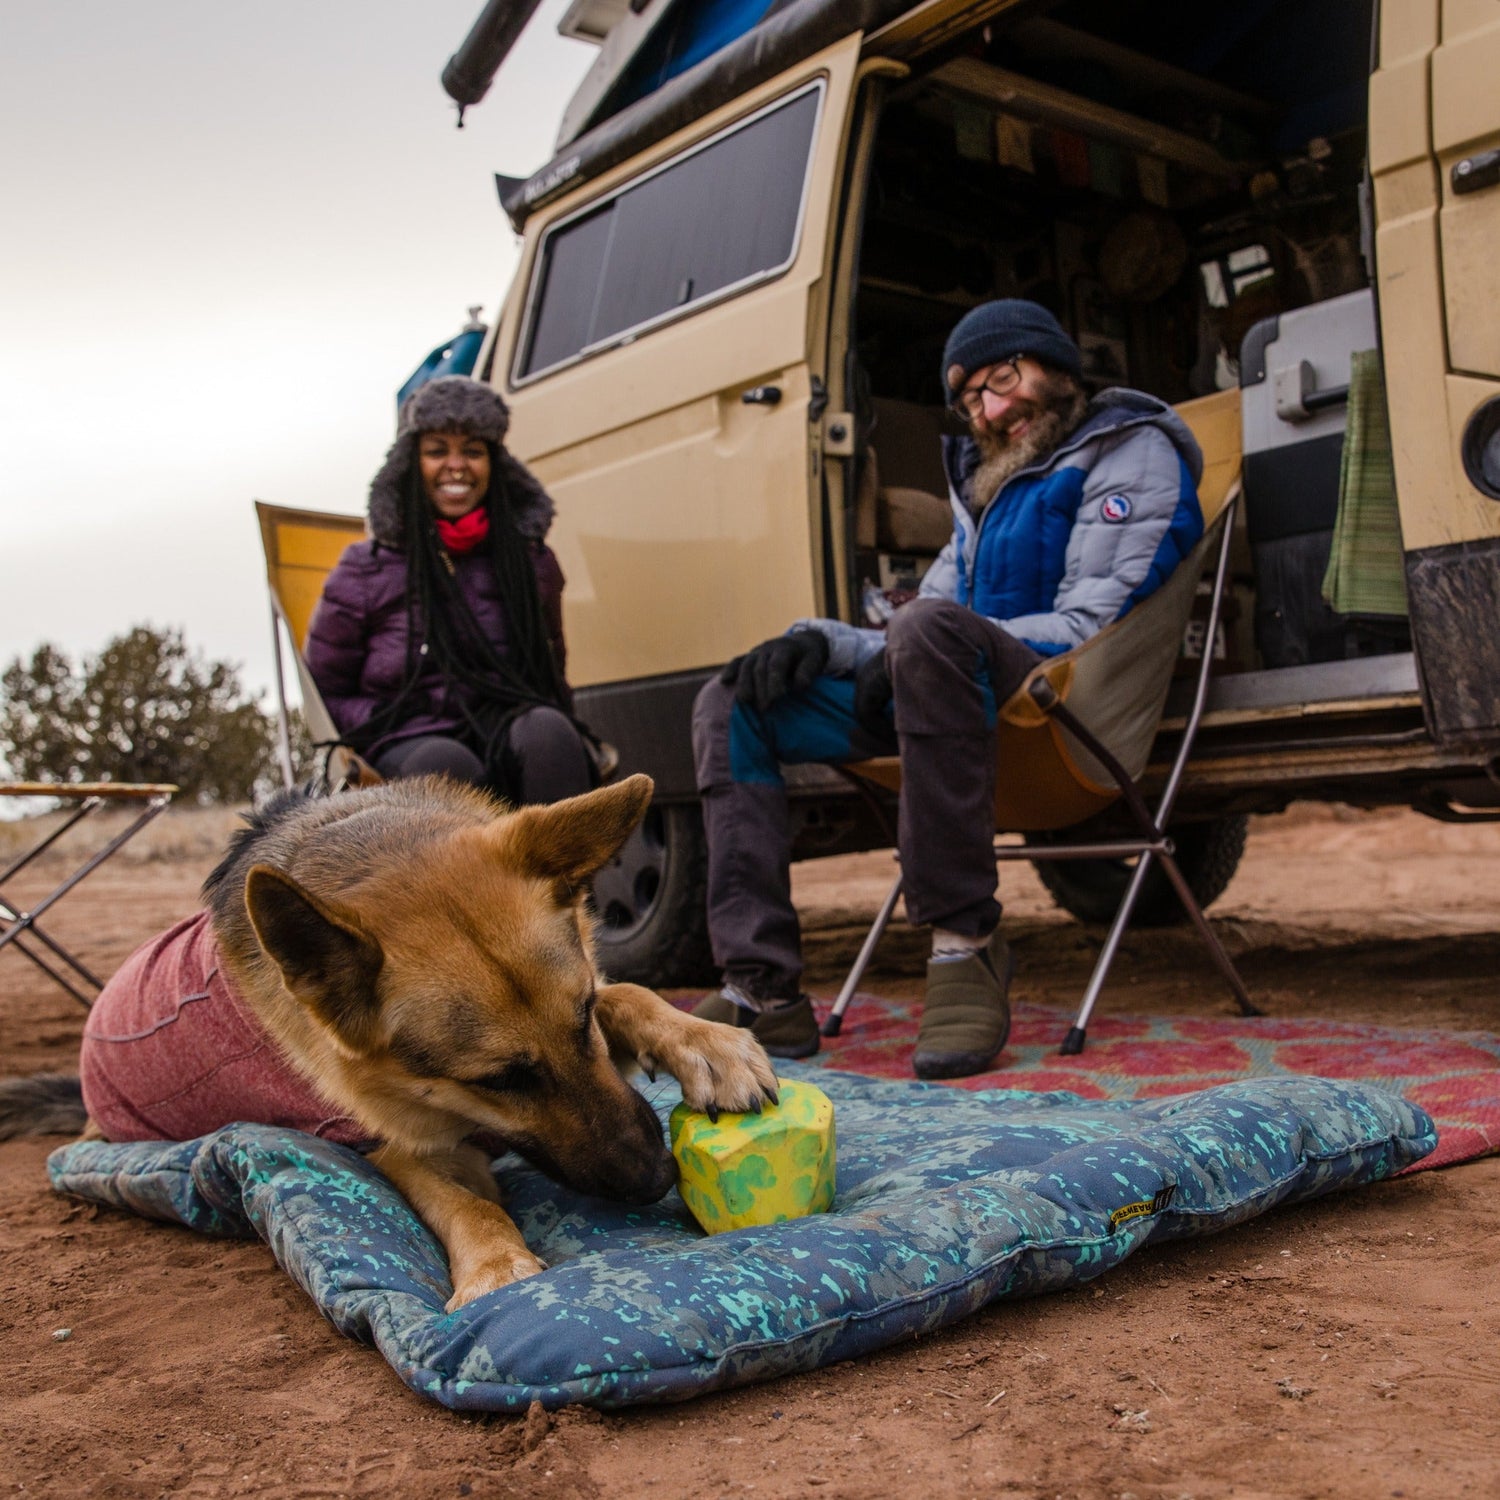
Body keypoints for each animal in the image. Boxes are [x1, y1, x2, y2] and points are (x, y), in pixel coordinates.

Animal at [11, 780, 780, 1308]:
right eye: (498, 1081)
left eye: (582, 1016)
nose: (656, 1178)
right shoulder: (390, 1144)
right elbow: (465, 1201)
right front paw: (495, 1266)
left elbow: (633, 994)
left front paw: (708, 1043)